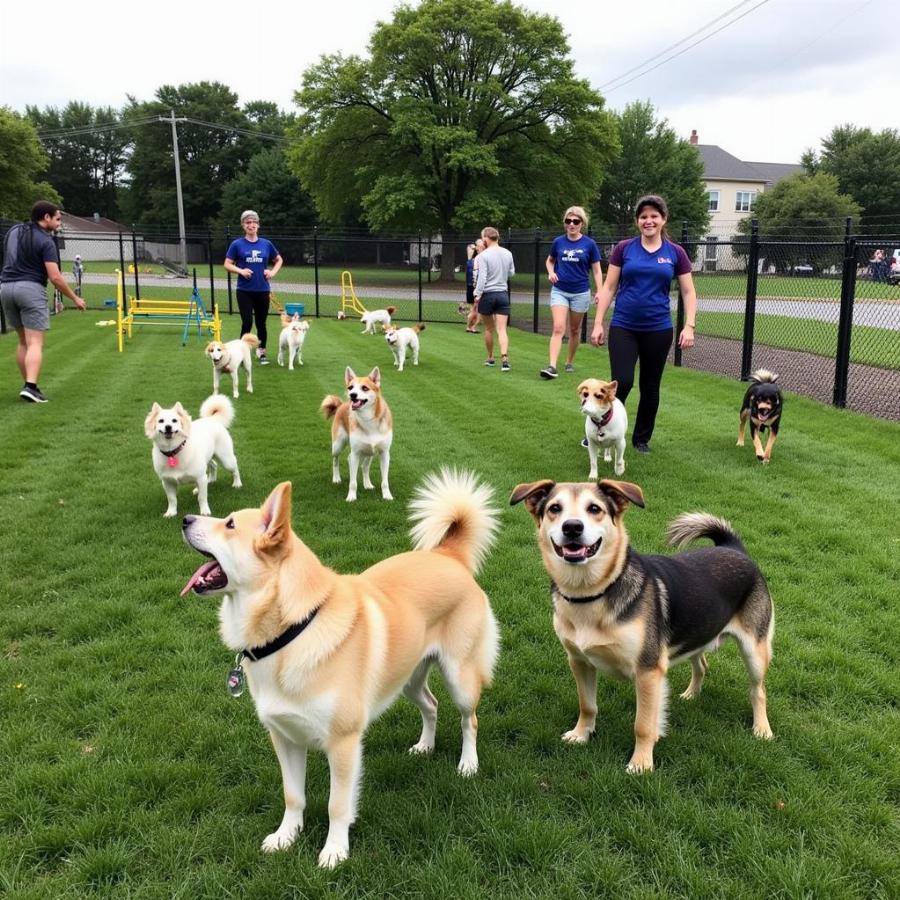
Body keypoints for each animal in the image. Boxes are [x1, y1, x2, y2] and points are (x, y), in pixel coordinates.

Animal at [176, 468, 500, 868]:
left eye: (230, 524)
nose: (185, 518)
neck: (293, 631)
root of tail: (448, 555)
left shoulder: (343, 744)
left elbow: (337, 805)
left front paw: (334, 851)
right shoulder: (284, 737)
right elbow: (293, 796)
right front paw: (286, 836)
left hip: (459, 677)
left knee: (469, 720)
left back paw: (468, 764)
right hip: (408, 679)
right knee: (431, 705)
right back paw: (425, 746)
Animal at [324, 368, 394, 506]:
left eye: (365, 388)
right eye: (350, 387)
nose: (352, 395)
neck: (368, 420)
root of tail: (341, 405)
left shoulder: (384, 454)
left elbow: (385, 481)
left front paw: (387, 495)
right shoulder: (356, 453)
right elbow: (353, 482)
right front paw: (351, 497)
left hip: (370, 451)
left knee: (364, 466)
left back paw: (367, 484)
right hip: (338, 445)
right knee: (336, 460)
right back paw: (336, 478)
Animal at [510, 478, 776, 772]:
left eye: (594, 508)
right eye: (555, 508)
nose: (572, 527)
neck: (591, 594)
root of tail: (733, 548)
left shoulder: (648, 670)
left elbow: (643, 725)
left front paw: (641, 764)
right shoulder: (579, 661)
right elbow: (587, 705)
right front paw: (581, 734)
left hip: (754, 650)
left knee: (758, 691)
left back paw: (762, 729)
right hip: (696, 634)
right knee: (702, 665)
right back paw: (691, 694)